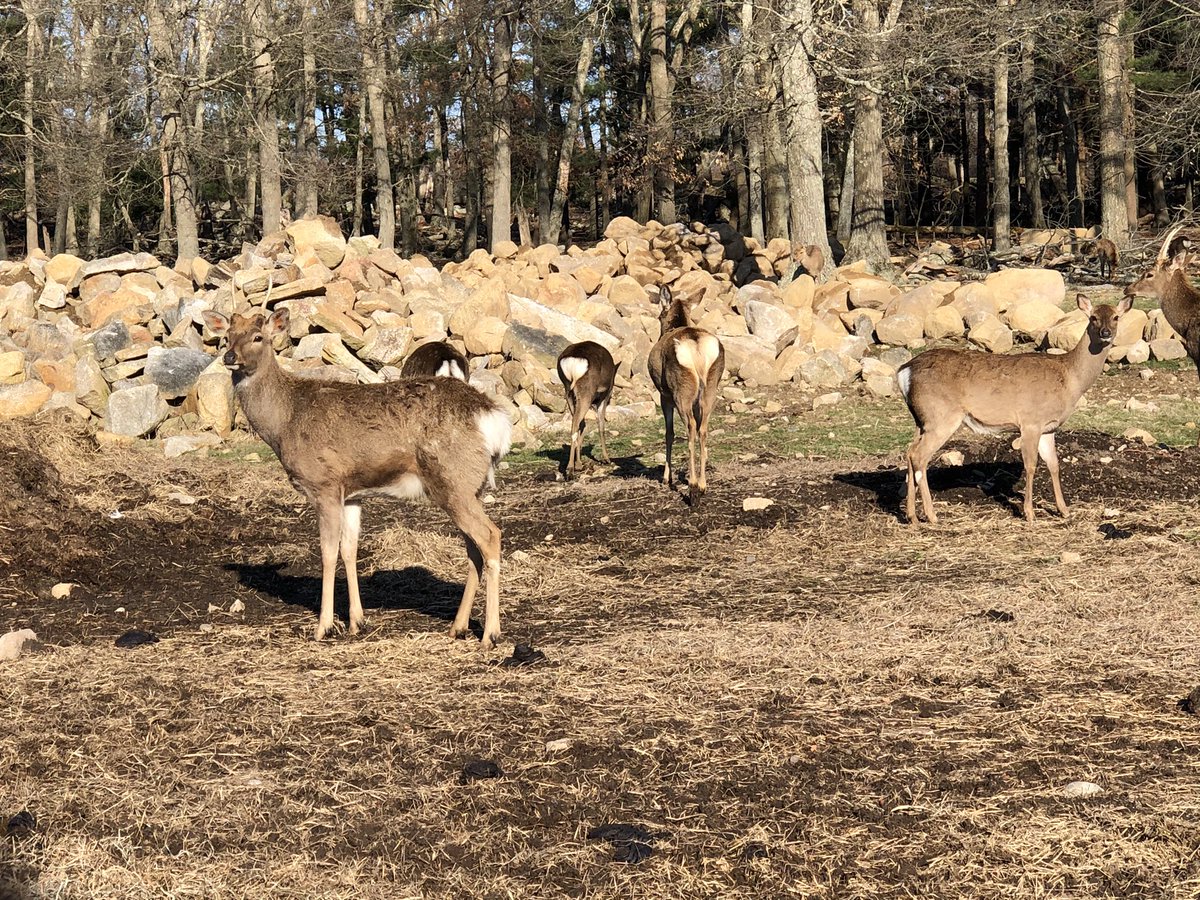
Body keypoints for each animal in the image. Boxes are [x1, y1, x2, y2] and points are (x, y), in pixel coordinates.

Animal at [202, 309, 511, 648]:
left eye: (258, 337)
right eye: (227, 336)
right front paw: (357, 621)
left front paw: (324, 626)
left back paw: (491, 634)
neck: (284, 424)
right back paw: (458, 627)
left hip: (453, 480)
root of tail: (494, 419)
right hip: (468, 487)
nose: (229, 356)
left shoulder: (325, 484)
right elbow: (349, 550)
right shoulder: (352, 494)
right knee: (474, 548)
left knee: (490, 536)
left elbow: (328, 552)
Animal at [556, 341, 616, 477]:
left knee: (578, 423)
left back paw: (575, 465)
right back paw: (570, 469)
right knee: (575, 425)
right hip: (586, 394)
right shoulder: (604, 398)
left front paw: (579, 463)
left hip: (568, 391)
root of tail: (573, 361)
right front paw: (607, 459)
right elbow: (601, 426)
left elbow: (584, 425)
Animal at [647, 286, 725, 506]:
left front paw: (666, 478)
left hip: (681, 392)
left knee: (690, 427)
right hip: (710, 390)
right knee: (703, 429)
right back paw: (703, 485)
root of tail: (697, 347)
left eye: (660, 315)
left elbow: (669, 433)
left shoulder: (664, 395)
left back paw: (693, 488)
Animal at [898, 295, 1132, 524]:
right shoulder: (1030, 421)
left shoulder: (1048, 427)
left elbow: (1054, 464)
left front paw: (1064, 510)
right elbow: (1031, 465)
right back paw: (932, 515)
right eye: (1093, 317)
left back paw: (911, 515)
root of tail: (904, 372)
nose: (1105, 333)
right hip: (941, 416)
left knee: (909, 452)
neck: (1070, 379)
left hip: (922, 420)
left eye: (1116, 317)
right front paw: (1029, 513)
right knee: (919, 456)